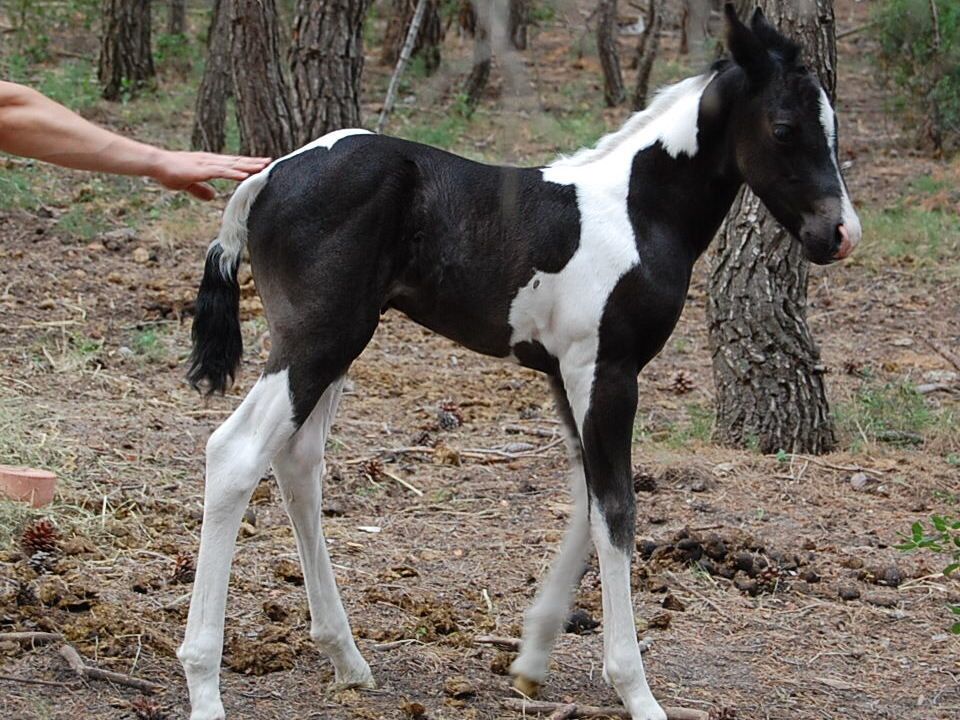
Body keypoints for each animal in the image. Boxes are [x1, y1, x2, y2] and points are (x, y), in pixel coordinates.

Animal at [177, 6, 861, 720]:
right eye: (784, 128)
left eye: (832, 126)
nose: (840, 234)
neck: (637, 211)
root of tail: (268, 176)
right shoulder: (608, 371)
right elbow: (616, 510)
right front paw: (635, 690)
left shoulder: (567, 373)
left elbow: (585, 498)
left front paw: (531, 662)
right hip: (317, 339)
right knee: (236, 454)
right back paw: (205, 683)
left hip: (332, 346)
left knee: (298, 463)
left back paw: (346, 657)